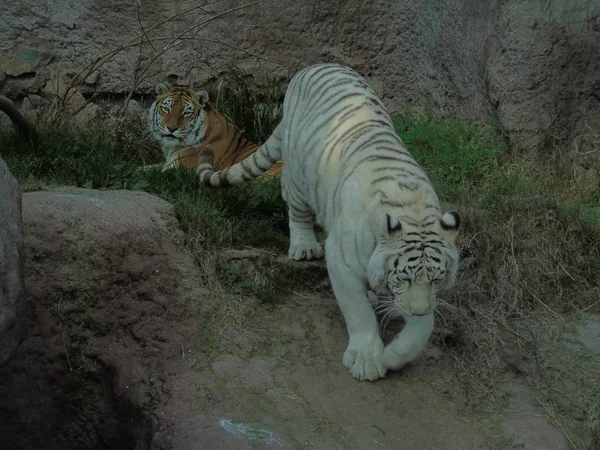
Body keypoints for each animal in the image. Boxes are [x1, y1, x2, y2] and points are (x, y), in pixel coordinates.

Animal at [196, 62, 460, 380]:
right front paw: (366, 359)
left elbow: (423, 327)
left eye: (436, 279)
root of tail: (317, 65)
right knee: (295, 209)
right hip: (298, 177)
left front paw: (394, 354)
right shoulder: (342, 260)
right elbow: (358, 311)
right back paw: (305, 247)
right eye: (404, 277)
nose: (415, 311)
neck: (412, 208)